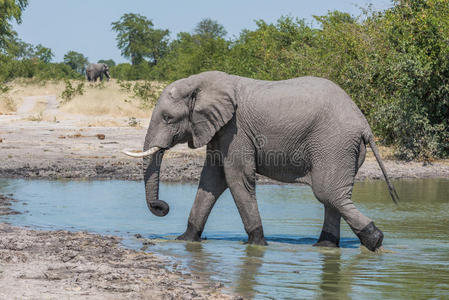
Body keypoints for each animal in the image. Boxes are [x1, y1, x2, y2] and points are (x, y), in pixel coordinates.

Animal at [121, 71, 398, 252]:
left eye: (168, 118)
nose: (162, 207)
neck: (201, 83)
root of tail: (364, 125)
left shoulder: (236, 130)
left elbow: (236, 178)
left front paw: (255, 245)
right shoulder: (220, 130)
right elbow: (212, 179)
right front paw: (185, 239)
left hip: (333, 144)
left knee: (327, 193)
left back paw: (375, 241)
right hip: (341, 148)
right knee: (333, 196)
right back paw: (326, 246)